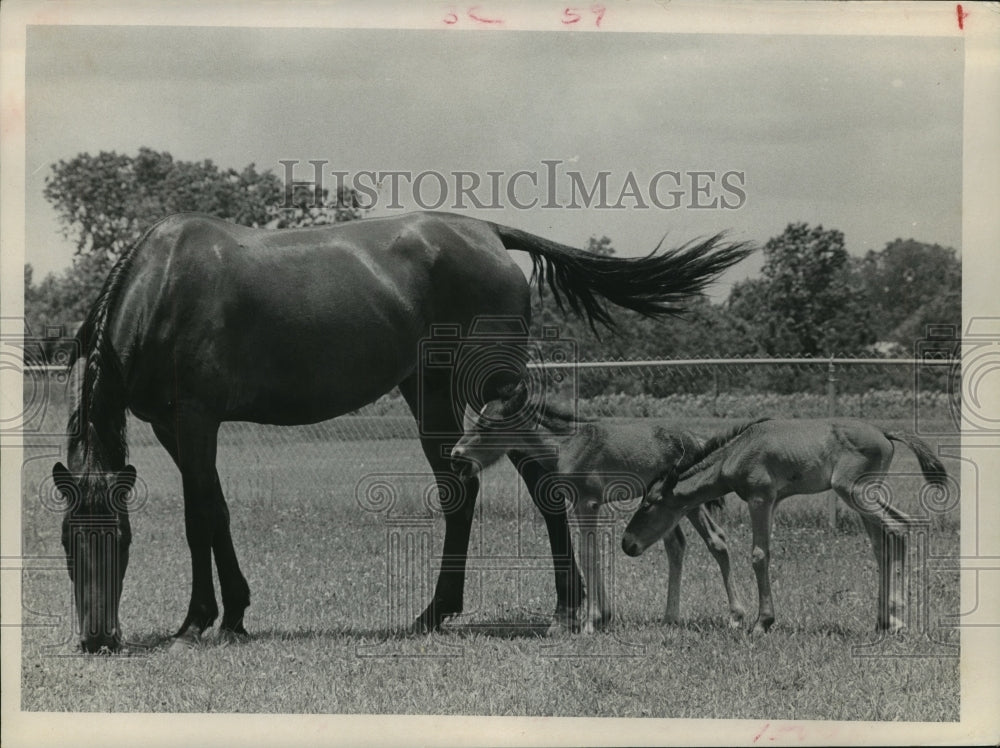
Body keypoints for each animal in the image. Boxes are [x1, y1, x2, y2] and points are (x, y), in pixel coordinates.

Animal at [450, 386, 748, 636]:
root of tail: (696, 440)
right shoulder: (580, 504)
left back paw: (736, 616)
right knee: (676, 546)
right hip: (668, 507)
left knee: (716, 540)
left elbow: (588, 552)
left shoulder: (588, 502)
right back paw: (670, 617)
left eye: (487, 424)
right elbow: (590, 551)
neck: (567, 444)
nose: (456, 455)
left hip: (690, 500)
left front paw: (592, 621)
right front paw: (602, 617)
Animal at [620, 418, 948, 636]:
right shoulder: (774, 502)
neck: (737, 451)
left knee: (898, 529)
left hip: (852, 492)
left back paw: (897, 619)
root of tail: (884, 432)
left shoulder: (760, 498)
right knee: (884, 541)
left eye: (648, 503)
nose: (627, 543)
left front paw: (762, 623)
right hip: (867, 494)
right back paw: (883, 620)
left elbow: (758, 555)